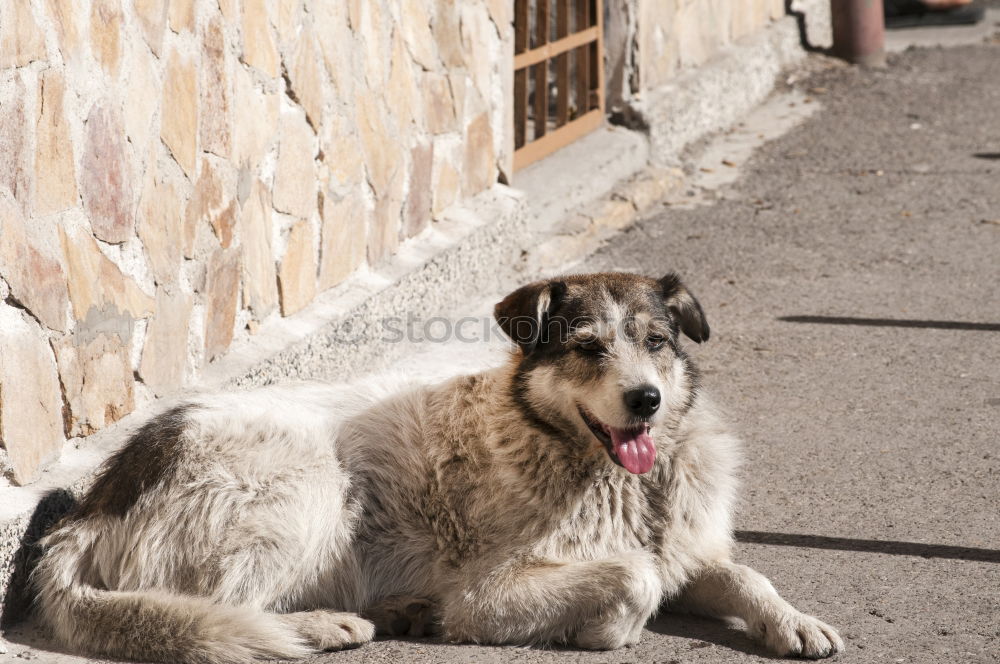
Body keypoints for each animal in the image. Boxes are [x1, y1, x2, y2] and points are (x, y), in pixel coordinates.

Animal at [31, 272, 844, 660]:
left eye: (657, 341)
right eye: (587, 347)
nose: (645, 401)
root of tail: (89, 507)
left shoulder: (689, 552)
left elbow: (745, 575)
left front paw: (796, 622)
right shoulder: (487, 596)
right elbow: (634, 578)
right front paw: (600, 632)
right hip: (305, 487)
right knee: (230, 607)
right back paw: (328, 626)